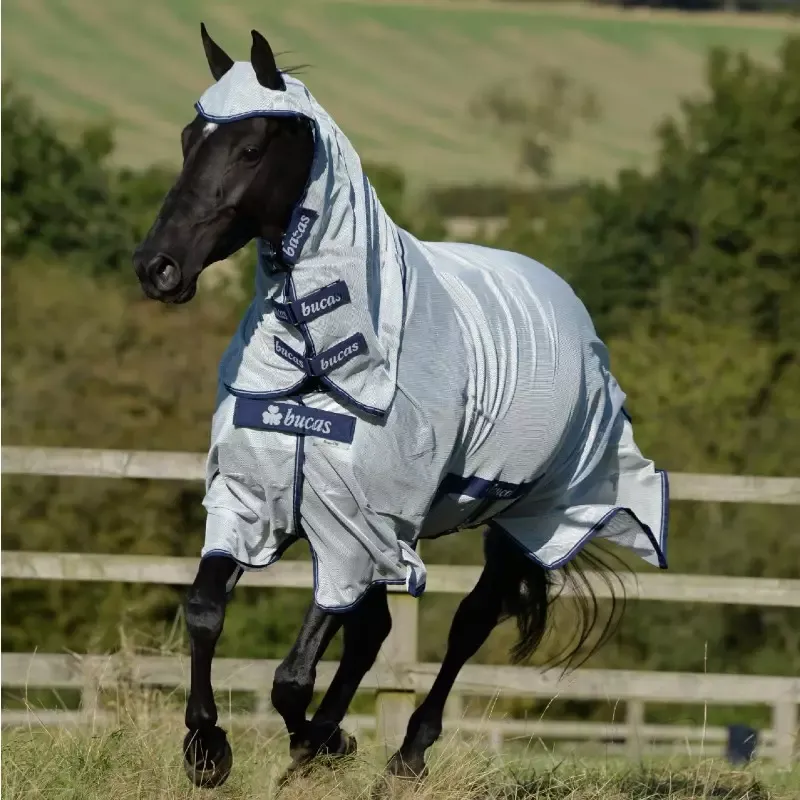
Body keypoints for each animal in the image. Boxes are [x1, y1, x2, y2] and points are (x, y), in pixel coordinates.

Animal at [132, 24, 669, 790]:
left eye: (250, 148)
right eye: (188, 137)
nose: (158, 267)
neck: (318, 363)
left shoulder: (355, 530)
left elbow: (293, 675)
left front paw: (321, 743)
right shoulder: (264, 501)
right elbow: (208, 610)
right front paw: (210, 748)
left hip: (518, 520)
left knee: (467, 624)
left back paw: (406, 753)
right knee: (373, 633)